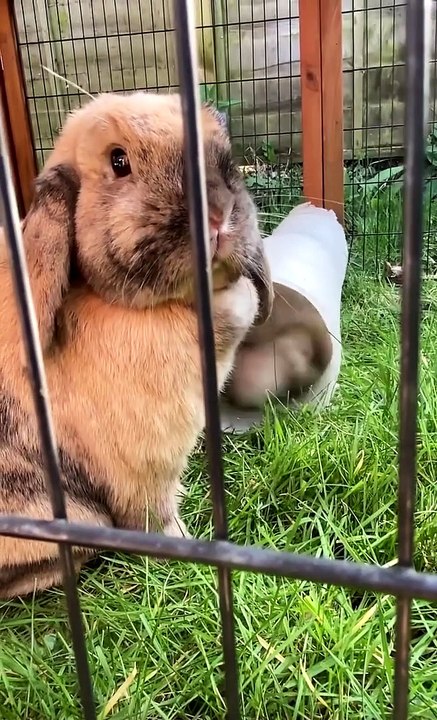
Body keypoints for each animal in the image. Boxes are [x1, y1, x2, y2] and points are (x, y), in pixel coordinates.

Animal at [0, 91, 273, 598]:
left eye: (224, 153)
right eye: (119, 160)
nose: (218, 214)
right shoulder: (145, 474)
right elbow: (157, 518)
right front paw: (186, 546)